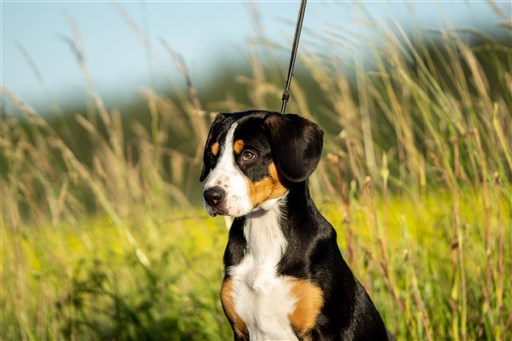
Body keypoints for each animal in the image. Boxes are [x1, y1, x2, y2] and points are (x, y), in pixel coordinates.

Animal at [200, 110, 392, 338]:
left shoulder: (323, 329)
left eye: (248, 154)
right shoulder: (241, 329)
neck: (264, 232)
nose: (211, 196)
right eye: (212, 156)